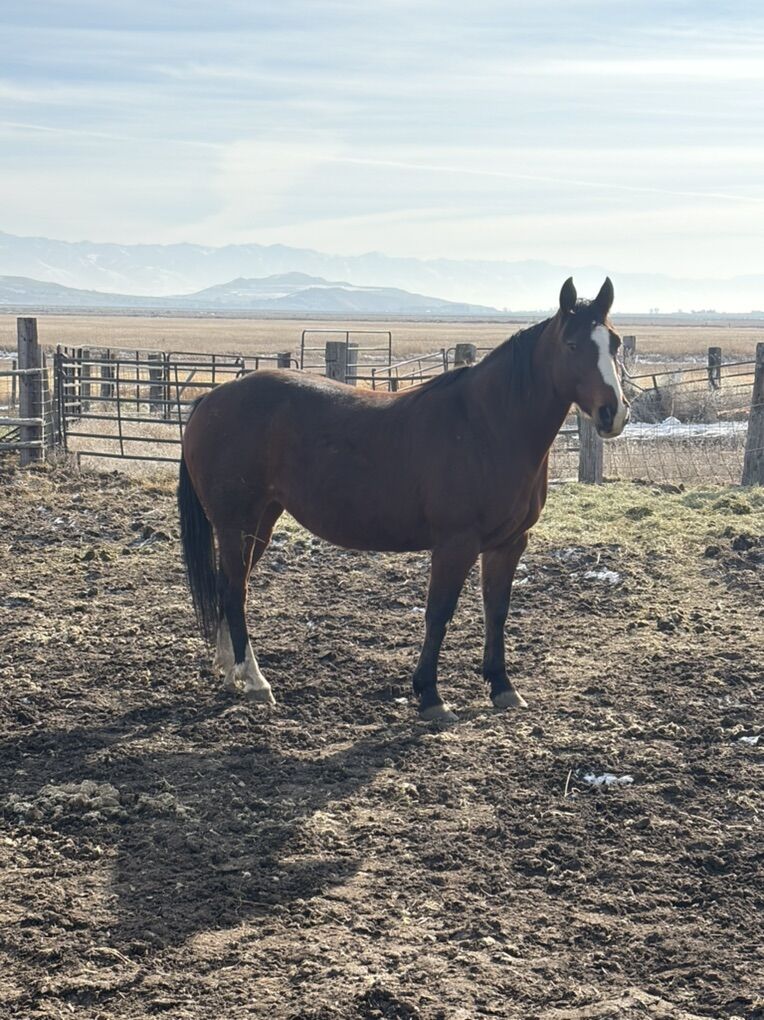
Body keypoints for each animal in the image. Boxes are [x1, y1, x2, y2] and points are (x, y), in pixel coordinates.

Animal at [178, 277, 628, 722]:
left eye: (616, 343)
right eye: (571, 344)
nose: (613, 413)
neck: (487, 426)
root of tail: (211, 400)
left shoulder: (509, 543)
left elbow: (496, 611)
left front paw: (502, 686)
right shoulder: (455, 544)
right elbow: (439, 613)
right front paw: (430, 695)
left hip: (260, 522)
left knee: (229, 587)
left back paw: (231, 673)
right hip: (235, 524)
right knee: (235, 592)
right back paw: (255, 680)